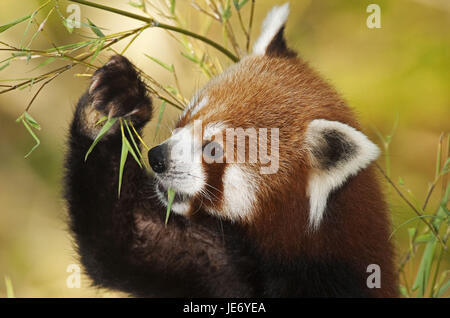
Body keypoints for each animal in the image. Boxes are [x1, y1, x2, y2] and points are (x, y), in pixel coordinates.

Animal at [64, 3, 398, 298]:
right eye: (187, 118)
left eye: (212, 149)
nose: (157, 158)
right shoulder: (218, 261)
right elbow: (127, 243)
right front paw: (113, 103)